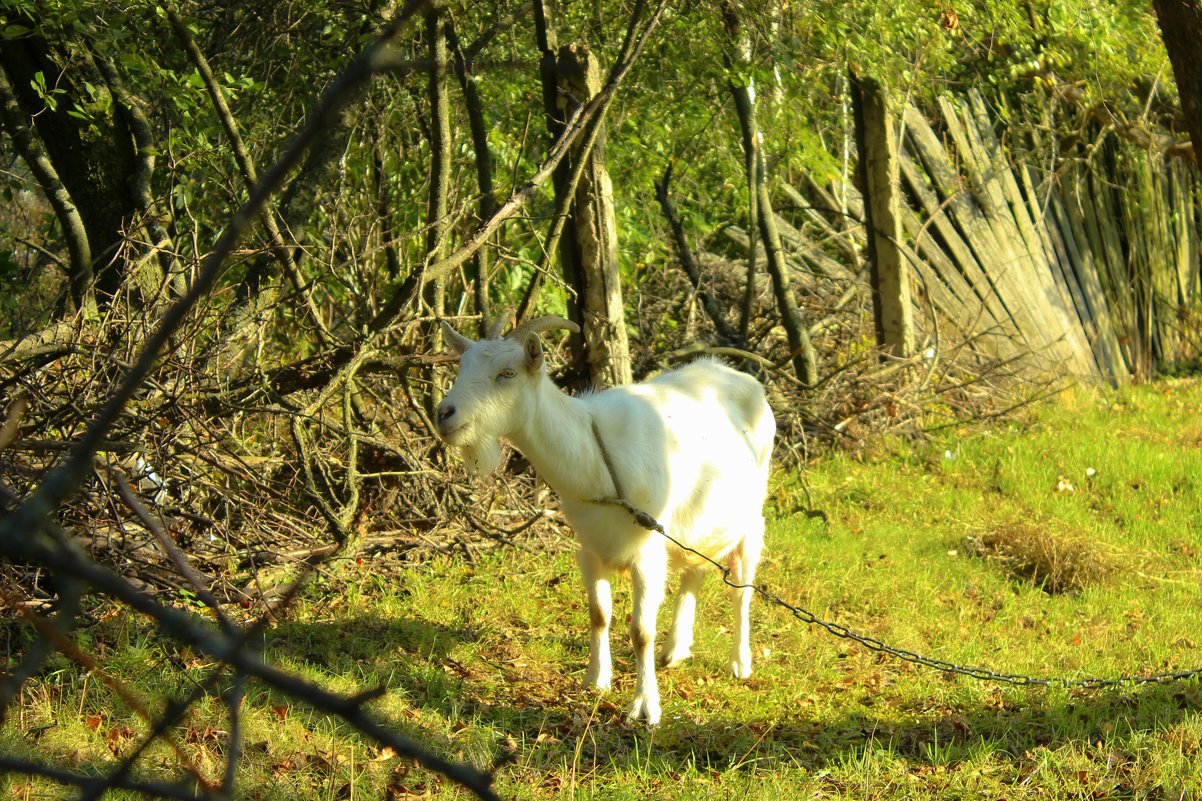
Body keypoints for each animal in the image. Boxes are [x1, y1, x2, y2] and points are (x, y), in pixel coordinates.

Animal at [437, 312, 774, 721]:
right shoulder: (590, 548)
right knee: (694, 570)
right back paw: (675, 649)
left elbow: (641, 632)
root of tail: (741, 377)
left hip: (751, 515)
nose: (444, 414)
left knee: (743, 586)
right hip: (696, 521)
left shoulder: (648, 551)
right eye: (462, 366)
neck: (597, 459)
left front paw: (646, 707)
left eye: (507, 373)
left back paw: (740, 662)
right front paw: (596, 680)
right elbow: (598, 614)